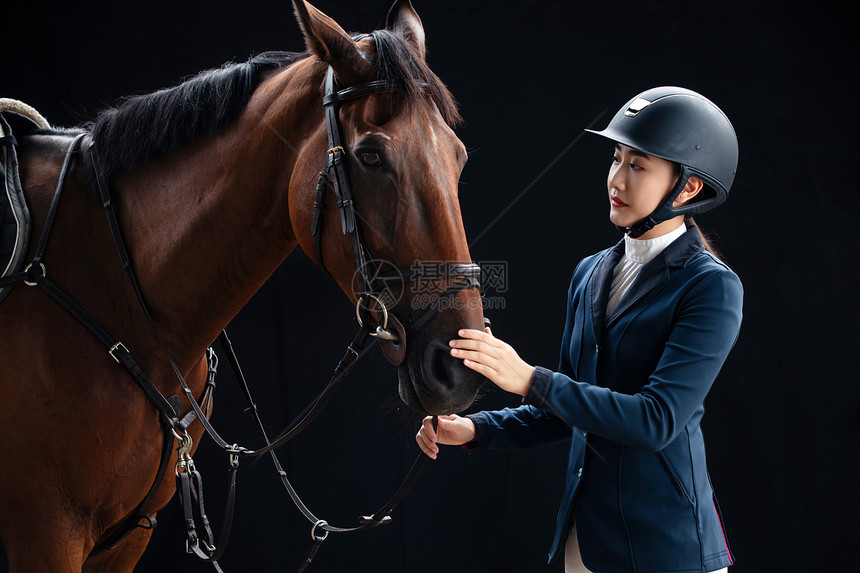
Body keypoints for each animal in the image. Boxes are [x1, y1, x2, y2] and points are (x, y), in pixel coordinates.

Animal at [0, 2, 484, 568]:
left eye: (458, 156)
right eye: (370, 156)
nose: (458, 366)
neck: (110, 281)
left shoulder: (129, 534)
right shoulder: (47, 534)